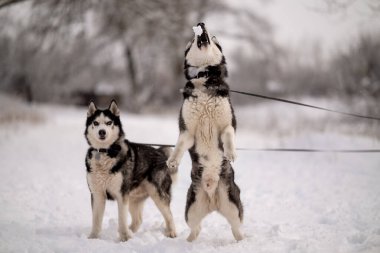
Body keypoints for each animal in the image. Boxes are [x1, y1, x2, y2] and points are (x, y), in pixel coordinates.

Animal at [84, 101, 177, 241]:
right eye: (95, 123)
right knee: (138, 220)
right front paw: (93, 238)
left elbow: (122, 218)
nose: (102, 132)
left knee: (169, 215)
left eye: (109, 123)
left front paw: (124, 238)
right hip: (133, 199)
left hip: (157, 194)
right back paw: (131, 232)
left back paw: (171, 233)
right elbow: (96, 220)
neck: (106, 151)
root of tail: (160, 152)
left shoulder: (121, 194)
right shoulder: (97, 194)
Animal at [167, 23, 243, 241]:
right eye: (192, 40)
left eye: (215, 39)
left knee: (236, 228)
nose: (201, 23)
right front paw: (173, 161)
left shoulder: (227, 124)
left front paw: (231, 152)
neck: (204, 77)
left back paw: (241, 241)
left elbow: (229, 135)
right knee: (196, 228)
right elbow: (180, 145)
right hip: (191, 208)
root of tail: (212, 197)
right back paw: (188, 242)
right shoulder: (187, 131)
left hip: (233, 205)